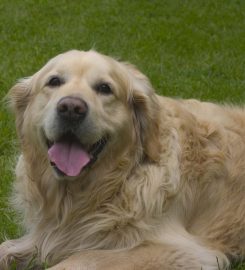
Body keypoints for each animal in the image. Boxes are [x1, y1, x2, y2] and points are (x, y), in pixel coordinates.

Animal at [0, 50, 244, 268]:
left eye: (104, 88)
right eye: (54, 81)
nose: (71, 108)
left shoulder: (184, 251)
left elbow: (83, 258)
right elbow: (7, 247)